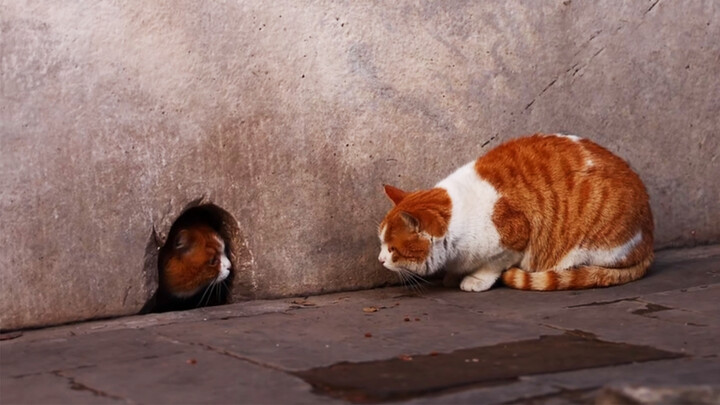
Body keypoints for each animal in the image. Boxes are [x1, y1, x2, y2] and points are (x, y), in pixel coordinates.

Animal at [380, 135, 656, 290]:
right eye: (381, 244)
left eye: (392, 249)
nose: (381, 259)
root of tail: (649, 240)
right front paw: (452, 276)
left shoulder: (514, 240)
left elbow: (493, 265)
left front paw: (475, 280)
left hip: (583, 248)